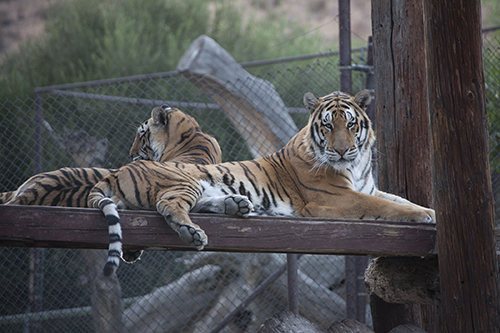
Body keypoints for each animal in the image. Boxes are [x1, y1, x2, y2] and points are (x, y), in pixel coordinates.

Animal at [88, 89, 436, 276]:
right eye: (327, 126)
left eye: (351, 125)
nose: (340, 150)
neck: (356, 164)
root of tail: (114, 172)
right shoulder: (333, 198)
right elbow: (388, 207)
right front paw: (424, 216)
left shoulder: (368, 187)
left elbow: (399, 199)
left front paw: (431, 210)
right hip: (184, 181)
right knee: (167, 203)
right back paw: (193, 231)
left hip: (197, 186)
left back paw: (236, 204)